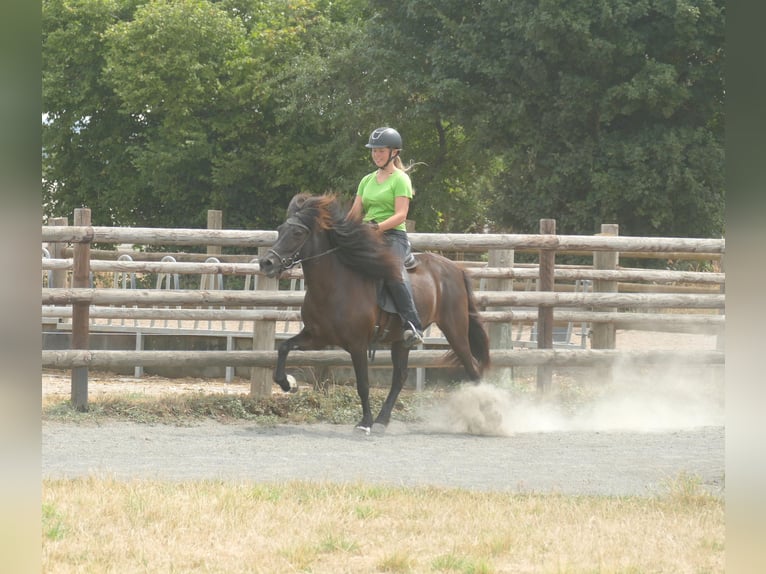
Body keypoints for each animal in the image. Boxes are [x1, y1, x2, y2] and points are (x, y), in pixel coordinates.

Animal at [258, 193, 490, 432]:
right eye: (280, 229)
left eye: (297, 233)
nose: (266, 263)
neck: (335, 285)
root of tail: (456, 268)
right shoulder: (317, 336)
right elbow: (284, 348)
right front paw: (289, 384)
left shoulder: (358, 344)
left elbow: (363, 384)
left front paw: (364, 423)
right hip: (401, 341)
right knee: (400, 377)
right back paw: (382, 420)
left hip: (455, 330)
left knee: (473, 368)